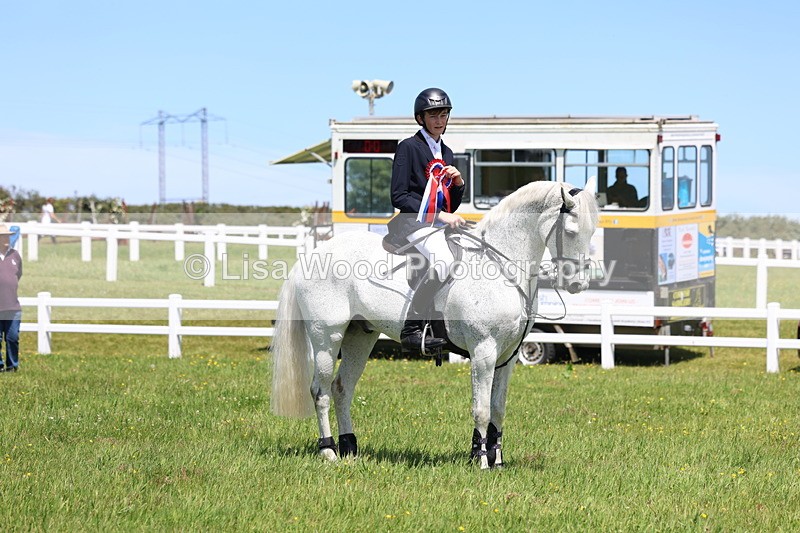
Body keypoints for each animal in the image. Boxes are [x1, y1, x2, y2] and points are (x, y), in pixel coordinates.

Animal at [270, 178, 599, 469]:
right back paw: (328, 452)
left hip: (360, 336)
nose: (578, 284)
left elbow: (498, 409)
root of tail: (311, 255)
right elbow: (481, 409)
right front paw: (481, 461)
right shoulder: (484, 351)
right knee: (321, 391)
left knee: (342, 388)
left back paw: (350, 448)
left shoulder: (508, 356)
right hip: (327, 337)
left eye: (592, 229)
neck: (500, 267)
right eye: (570, 231)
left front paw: (497, 460)